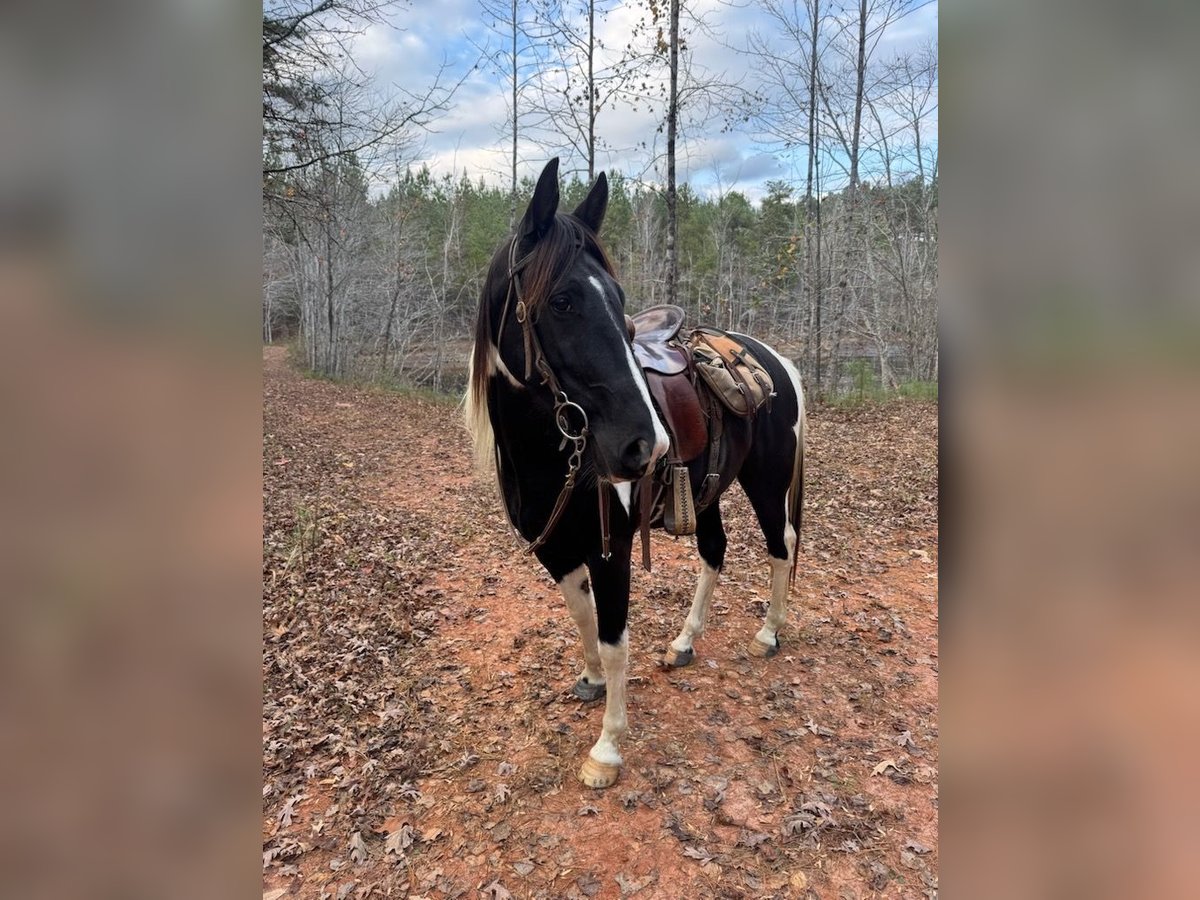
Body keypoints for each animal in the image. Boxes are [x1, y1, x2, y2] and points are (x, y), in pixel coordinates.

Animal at [465, 158, 806, 789]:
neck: (548, 456)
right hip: (707, 492)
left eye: (619, 300)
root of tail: (774, 360)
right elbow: (582, 617)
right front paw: (592, 681)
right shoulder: (556, 547)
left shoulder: (611, 548)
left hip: (766, 486)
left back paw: (769, 632)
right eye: (563, 300)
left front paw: (607, 748)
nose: (647, 444)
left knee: (781, 545)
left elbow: (614, 636)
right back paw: (684, 642)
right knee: (715, 551)